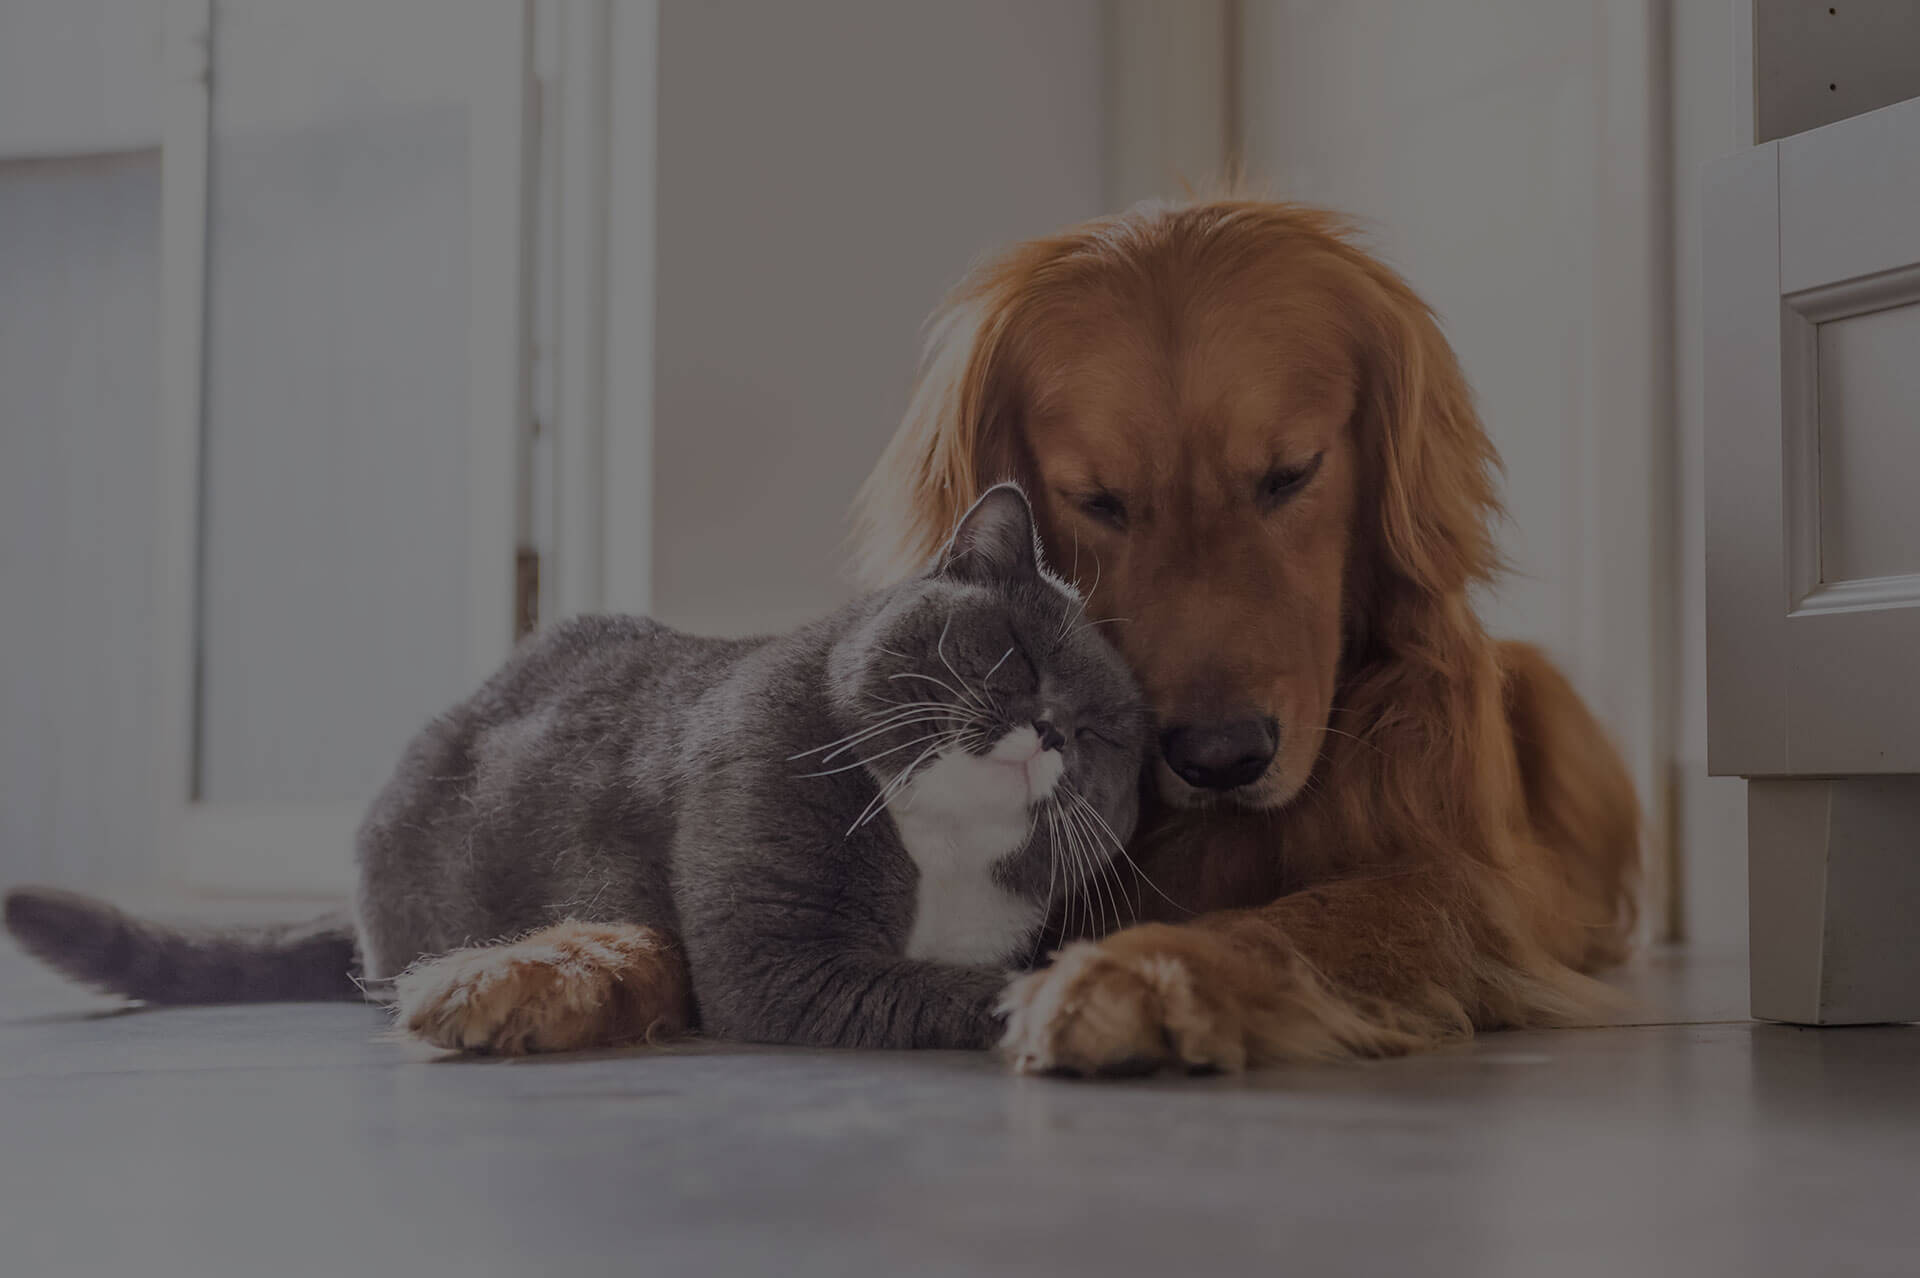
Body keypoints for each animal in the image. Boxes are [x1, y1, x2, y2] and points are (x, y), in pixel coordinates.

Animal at [3, 483, 1136, 1051]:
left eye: (1102, 737)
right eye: (1014, 656)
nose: (1048, 731)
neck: (938, 853)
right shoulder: (776, 952)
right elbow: (935, 985)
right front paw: (1049, 1000)